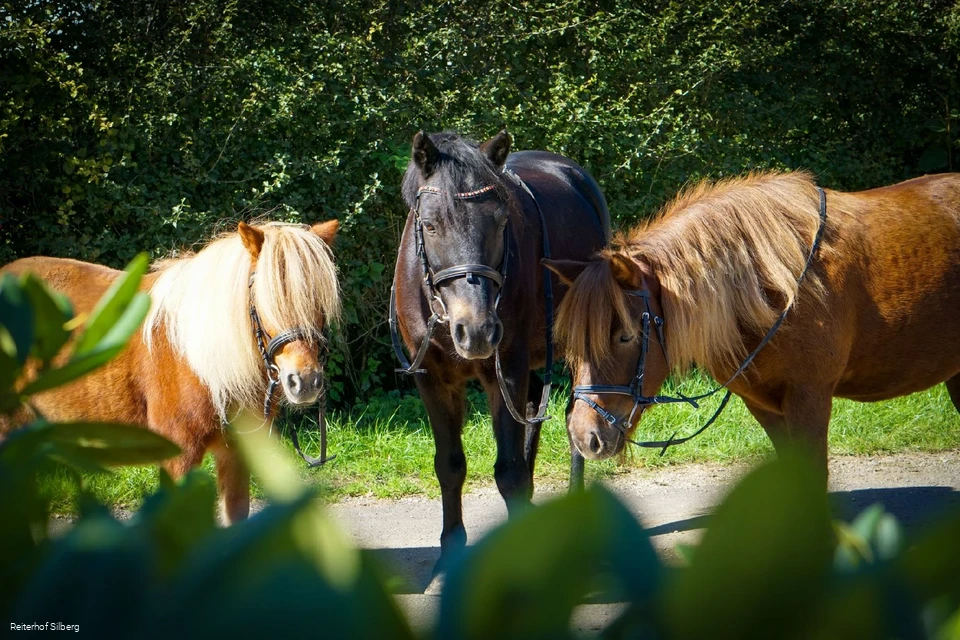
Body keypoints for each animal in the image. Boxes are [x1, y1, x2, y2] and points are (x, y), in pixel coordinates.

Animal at [1, 220, 341, 522]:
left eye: (318, 300)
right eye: (264, 299)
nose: (305, 382)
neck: (200, 361)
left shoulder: (236, 454)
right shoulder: (179, 456)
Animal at [391, 130, 610, 573]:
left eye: (501, 221)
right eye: (430, 224)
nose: (476, 330)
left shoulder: (506, 369)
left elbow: (509, 472)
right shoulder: (431, 378)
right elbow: (450, 465)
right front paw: (451, 550)